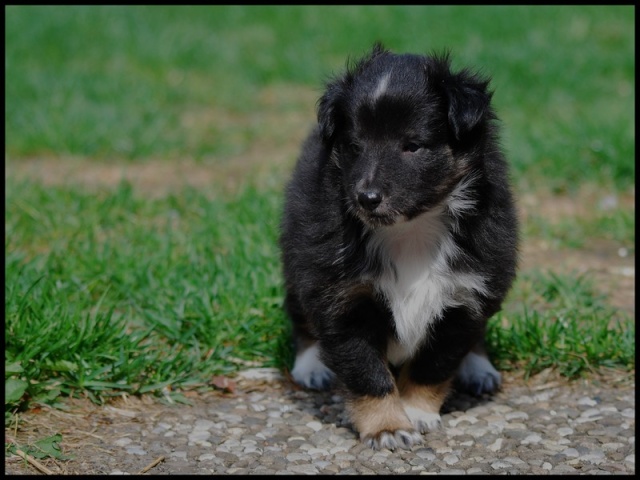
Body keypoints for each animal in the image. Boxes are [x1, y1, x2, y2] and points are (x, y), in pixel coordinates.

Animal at [282, 42, 520, 450]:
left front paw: (416, 411)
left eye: (413, 146)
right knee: (301, 316)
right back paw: (312, 366)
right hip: (296, 258)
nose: (366, 198)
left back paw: (478, 367)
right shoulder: (341, 298)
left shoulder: (465, 297)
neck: (410, 232)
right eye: (354, 146)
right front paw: (388, 425)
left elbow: (434, 363)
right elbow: (366, 371)